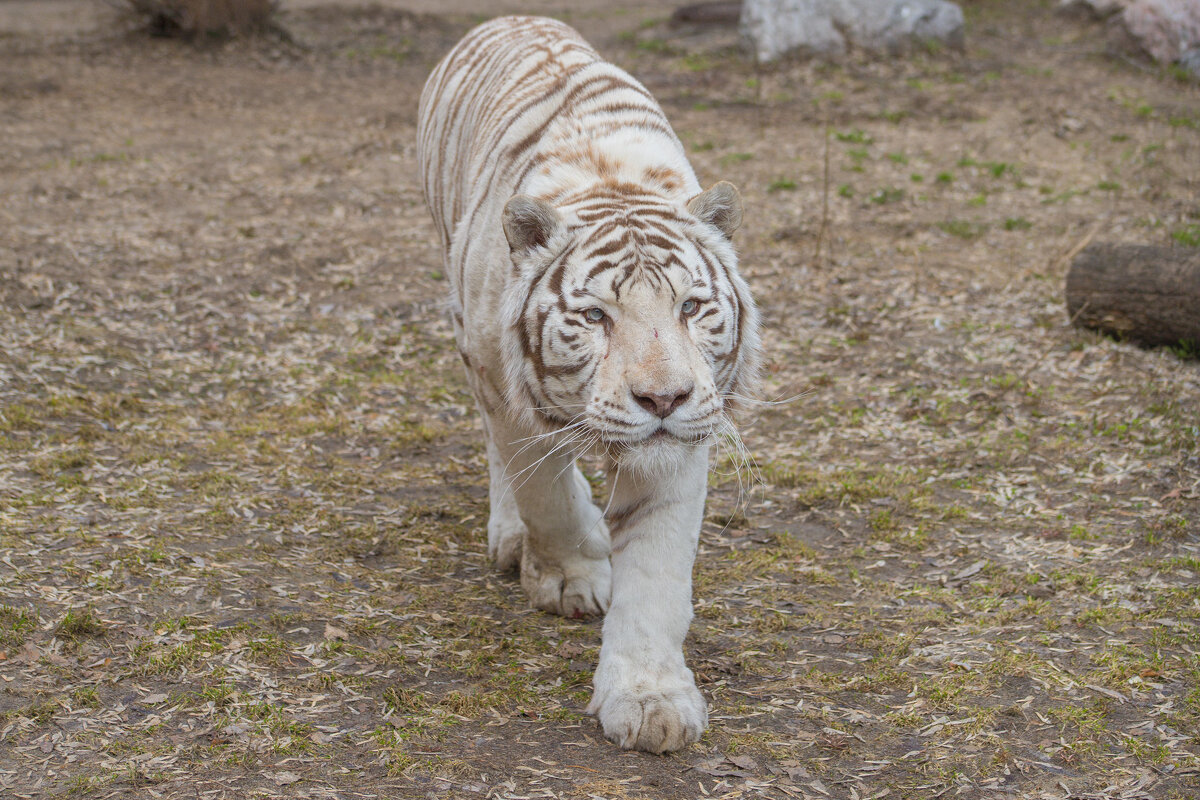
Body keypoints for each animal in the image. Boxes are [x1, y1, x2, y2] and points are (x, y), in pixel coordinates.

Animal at [420, 15, 758, 753]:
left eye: (691, 307)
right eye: (596, 316)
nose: (663, 399)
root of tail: (516, 17)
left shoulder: (683, 440)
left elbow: (657, 570)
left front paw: (650, 701)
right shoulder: (504, 388)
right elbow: (545, 496)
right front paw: (572, 576)